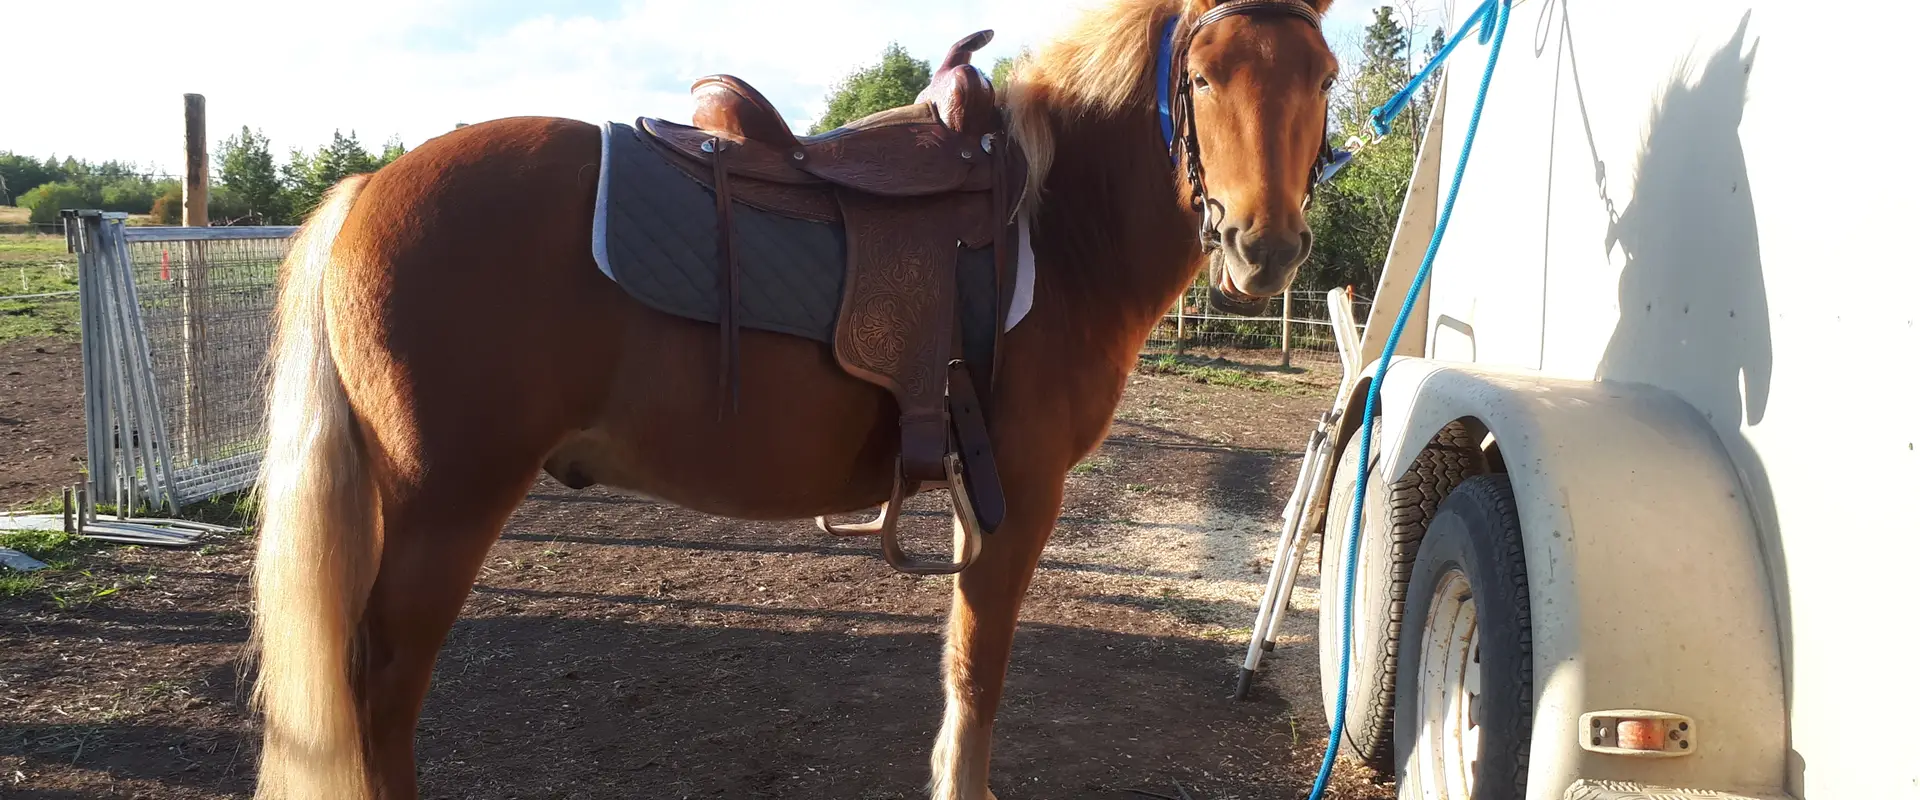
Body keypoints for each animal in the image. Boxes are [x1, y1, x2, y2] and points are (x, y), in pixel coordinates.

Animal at [246, 0, 1338, 797]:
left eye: (1323, 75)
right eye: (1203, 75)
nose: (1266, 247)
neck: (1054, 224)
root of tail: (368, 189)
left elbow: (961, 662)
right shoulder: (1021, 495)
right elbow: (979, 666)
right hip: (445, 503)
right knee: (382, 688)